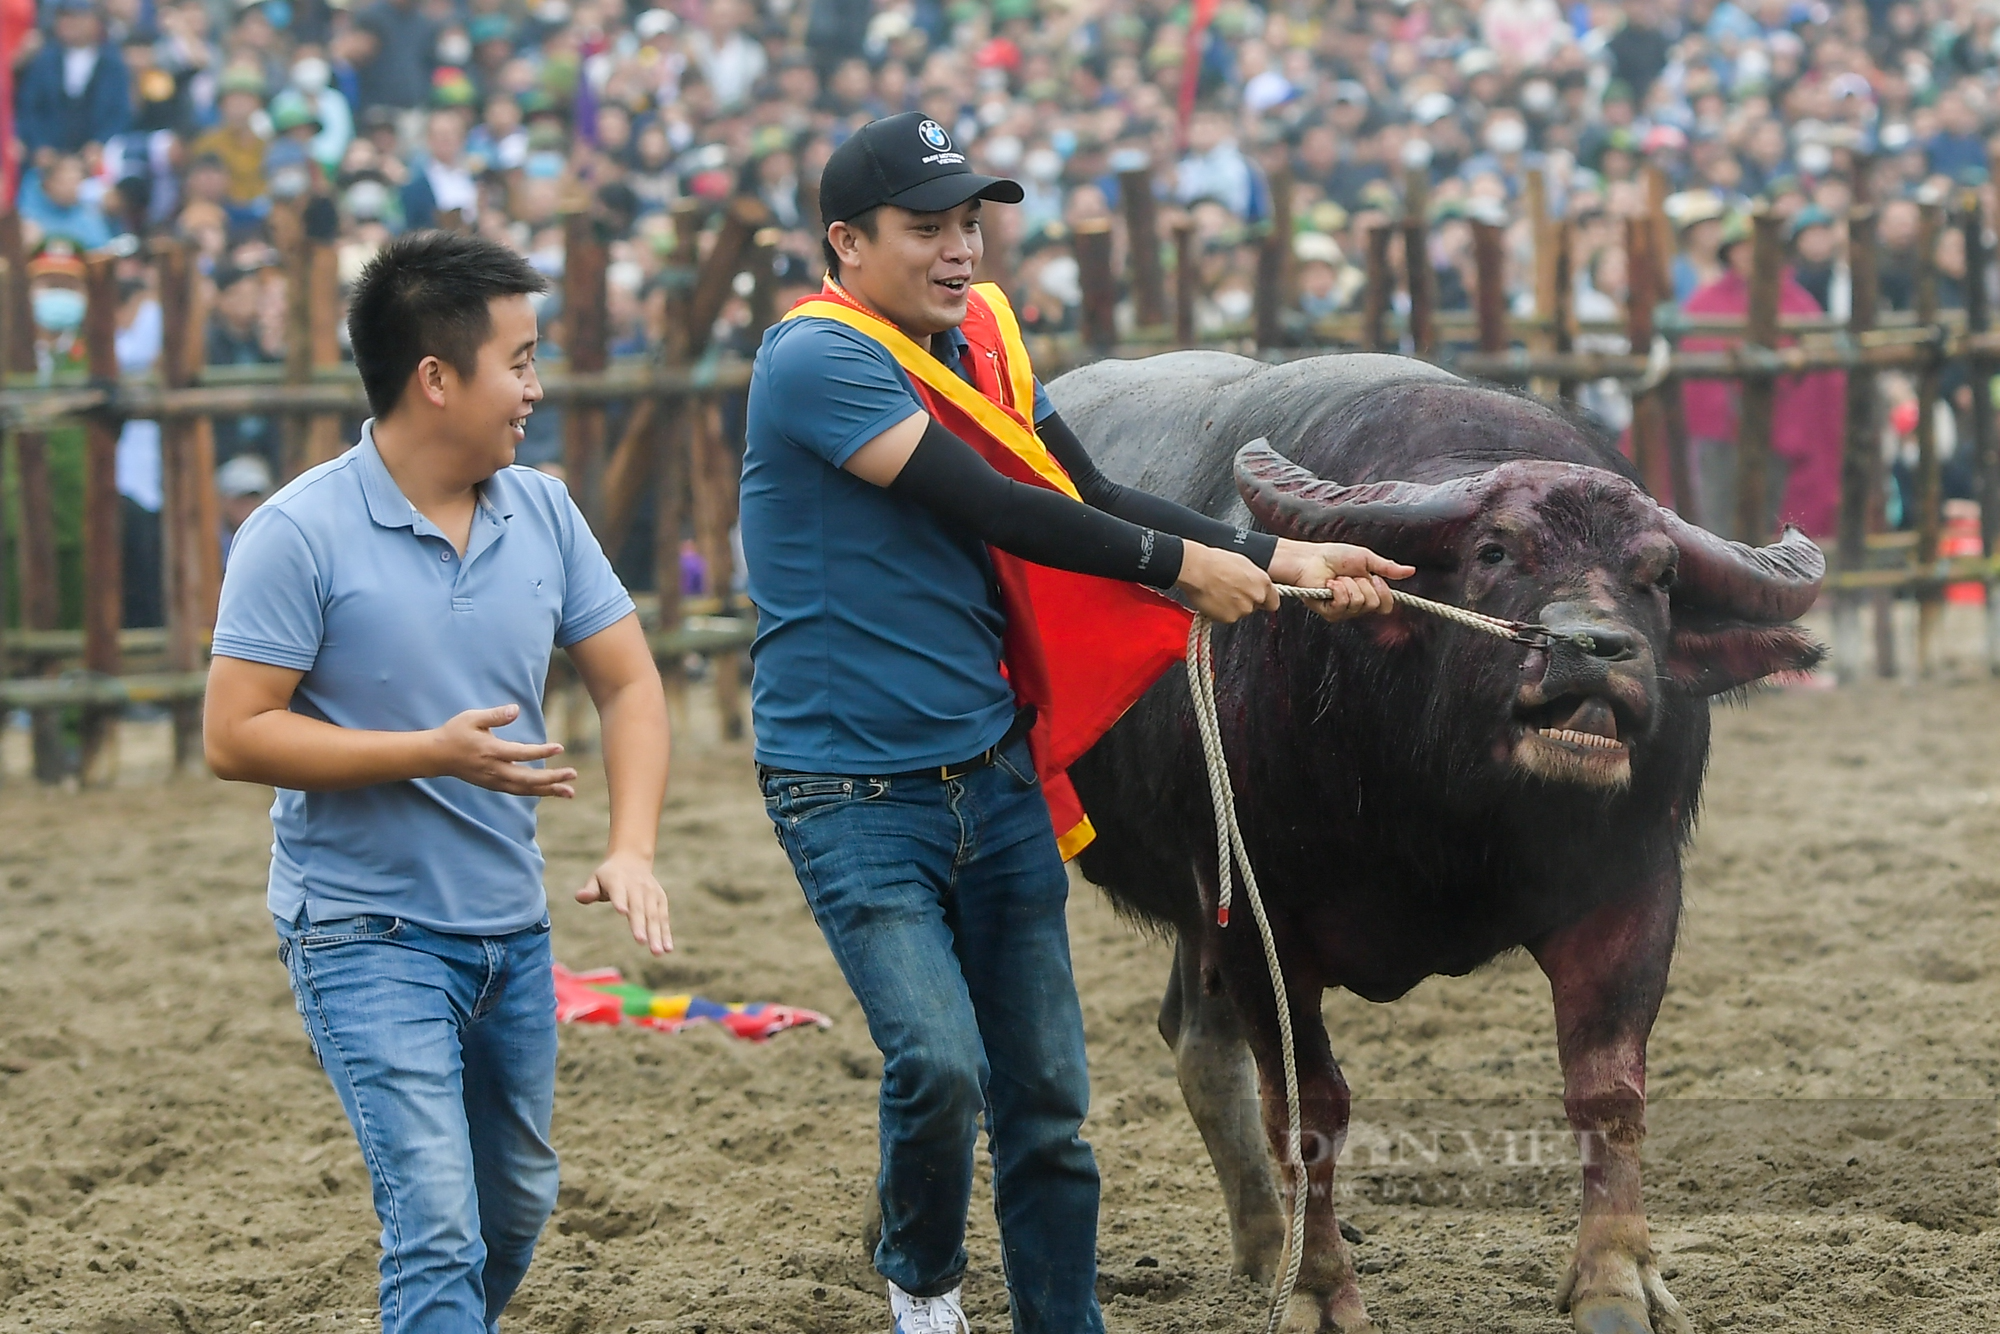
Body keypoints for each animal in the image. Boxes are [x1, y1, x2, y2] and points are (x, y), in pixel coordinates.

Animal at [1064, 350, 1832, 1328]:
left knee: (1196, 1039)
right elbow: (1308, 1109)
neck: (1452, 817)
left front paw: (1617, 1277)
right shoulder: (1258, 912)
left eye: (1658, 575)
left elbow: (1607, 1090)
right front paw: (1321, 1292)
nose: (1596, 649)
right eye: (1494, 552)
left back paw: (1266, 1245)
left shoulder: (1634, 890)